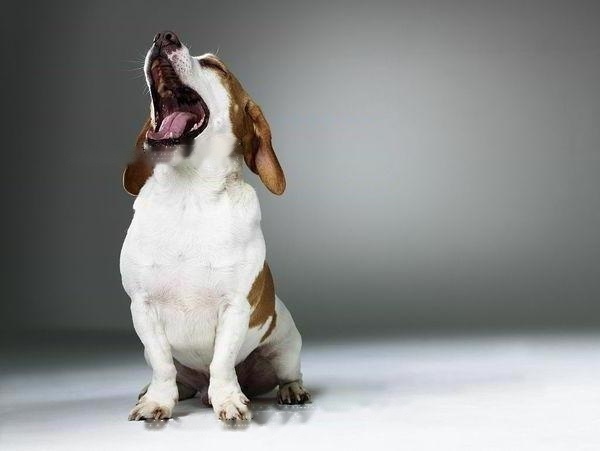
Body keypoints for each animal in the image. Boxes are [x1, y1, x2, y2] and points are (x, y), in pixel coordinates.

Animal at [120, 30, 312, 422]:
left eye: (214, 66)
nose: (164, 36)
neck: (188, 194)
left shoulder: (235, 307)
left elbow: (222, 362)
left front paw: (228, 399)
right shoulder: (142, 307)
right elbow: (163, 363)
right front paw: (157, 400)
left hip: (285, 345)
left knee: (286, 372)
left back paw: (290, 390)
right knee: (179, 377)